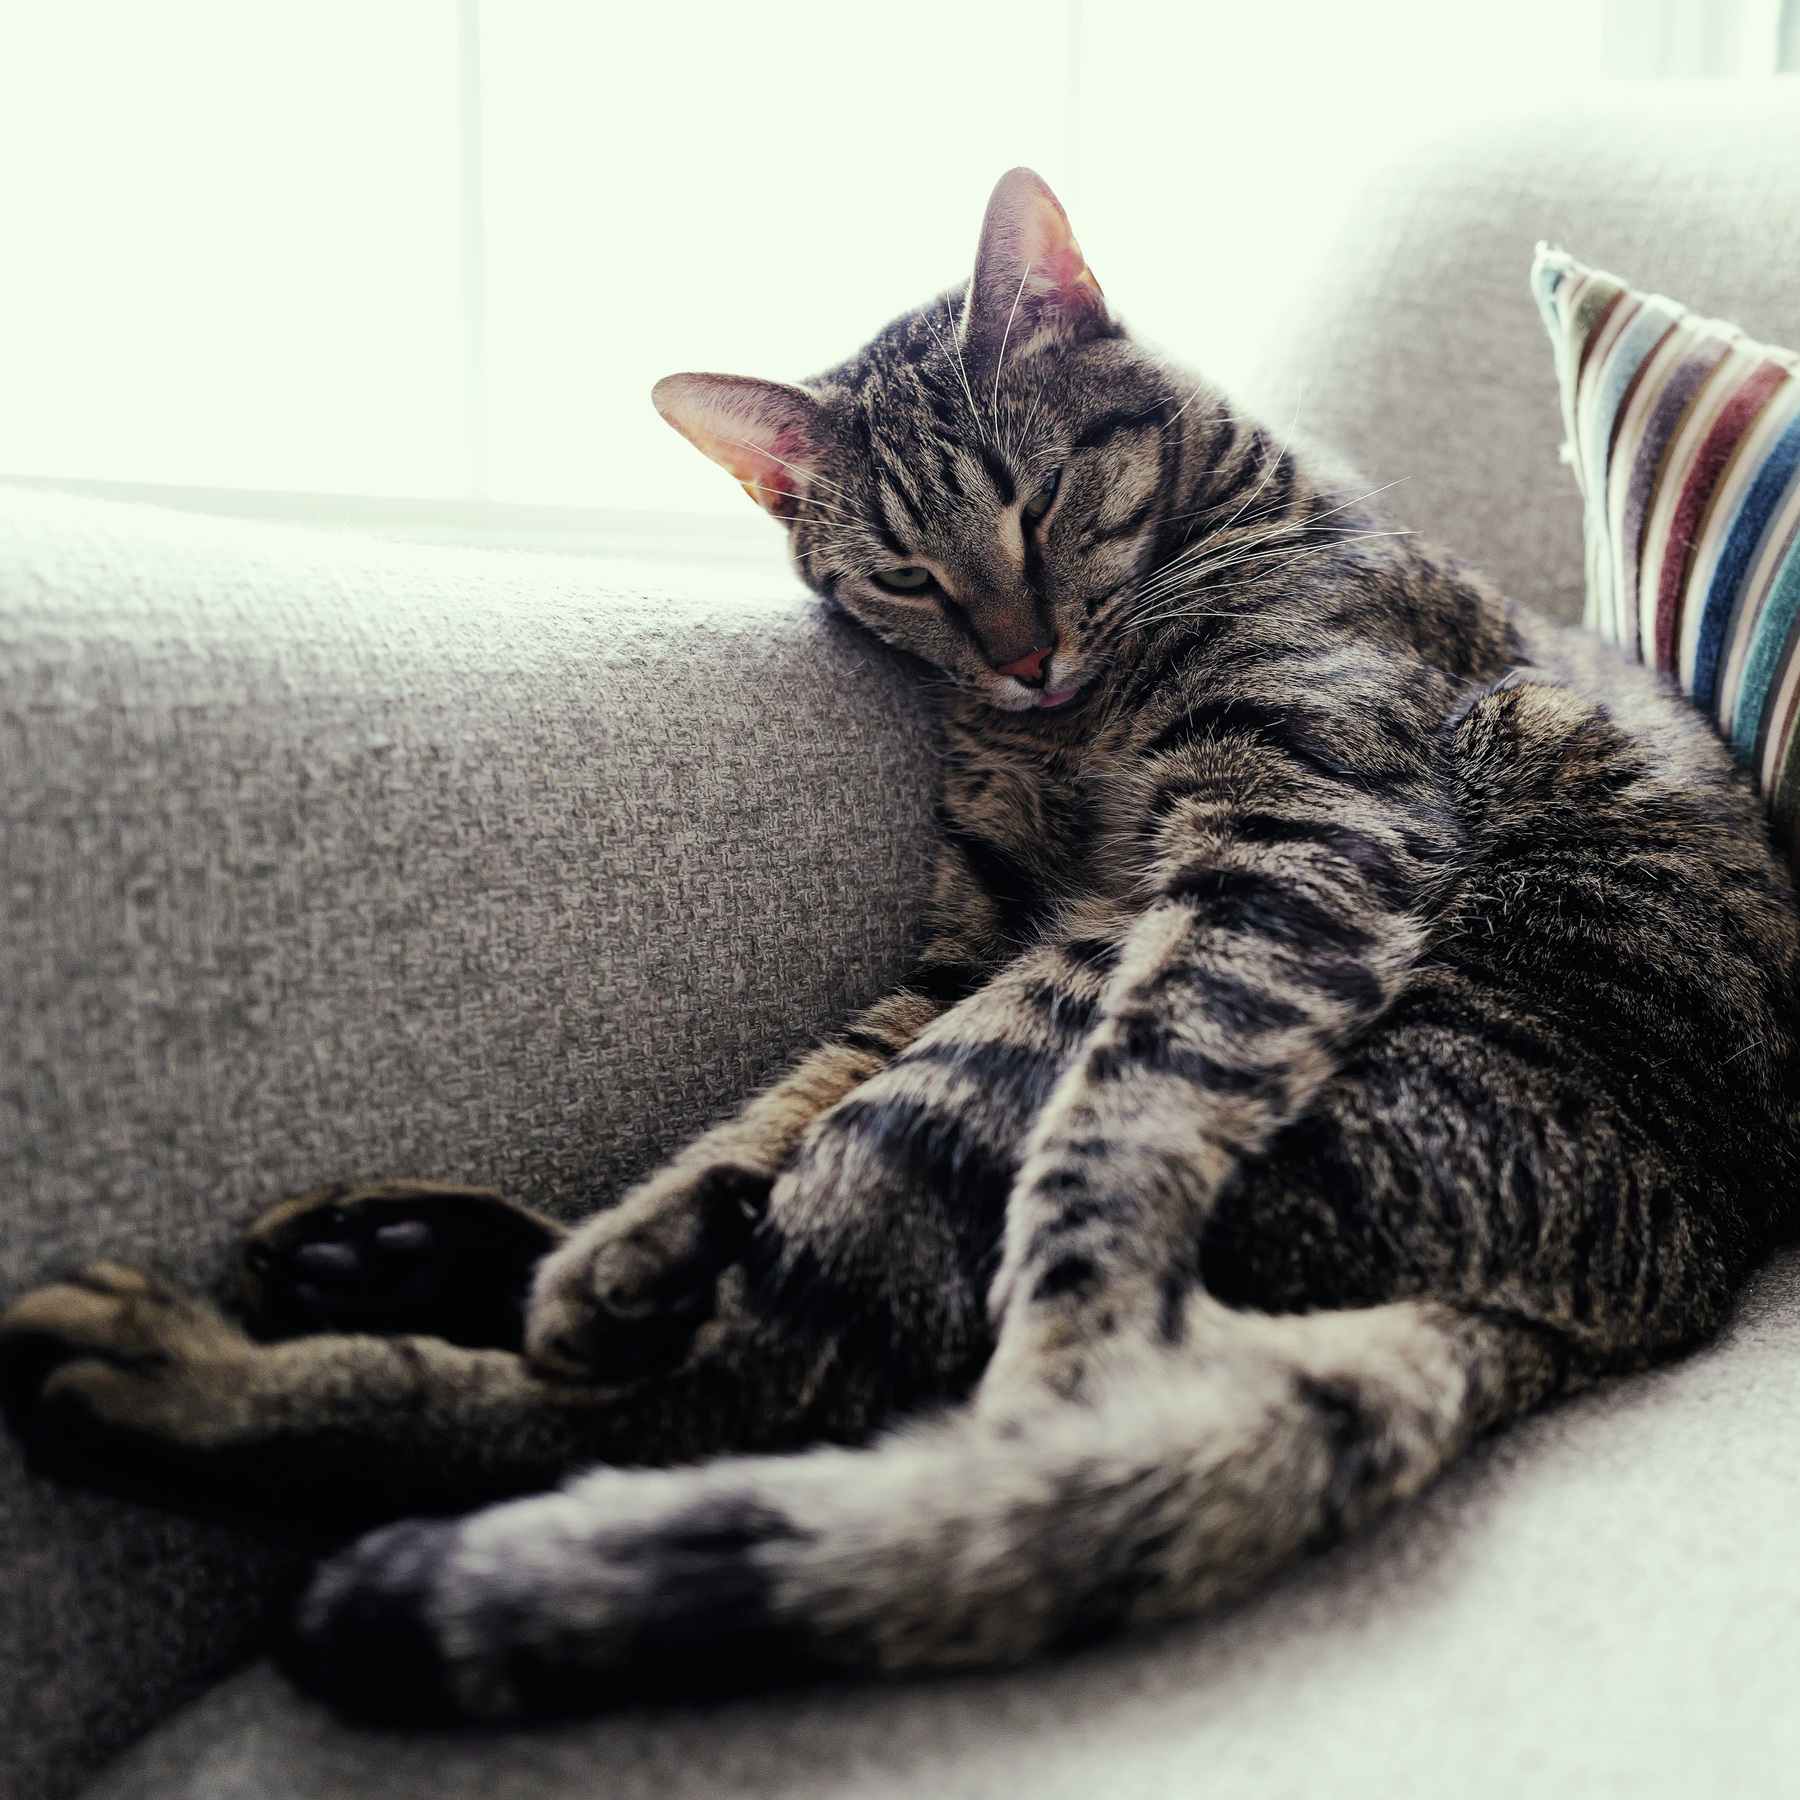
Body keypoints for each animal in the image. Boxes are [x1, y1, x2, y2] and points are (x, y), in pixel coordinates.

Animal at [3, 171, 1800, 1728]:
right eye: (907, 573)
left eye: (1041, 504)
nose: (1023, 656)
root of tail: (1656, 1269)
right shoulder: (970, 935)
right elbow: (781, 1092)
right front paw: (630, 1240)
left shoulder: (1287, 836)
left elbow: (1116, 1130)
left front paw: (1065, 1377)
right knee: (728, 1302)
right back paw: (429, 1253)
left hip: (1073, 1002)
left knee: (736, 1395)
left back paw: (186, 1370)